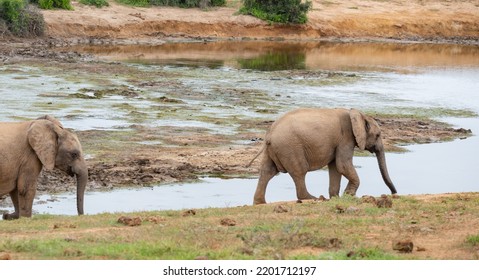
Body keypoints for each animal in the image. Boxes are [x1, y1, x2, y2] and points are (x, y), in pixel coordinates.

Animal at [248, 108, 398, 205]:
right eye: (378, 135)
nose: (394, 194)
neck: (358, 114)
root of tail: (269, 134)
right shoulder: (346, 138)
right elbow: (343, 165)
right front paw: (348, 195)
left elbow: (336, 168)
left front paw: (336, 197)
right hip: (290, 148)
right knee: (299, 171)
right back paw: (313, 198)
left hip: (276, 149)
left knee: (267, 172)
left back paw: (260, 203)